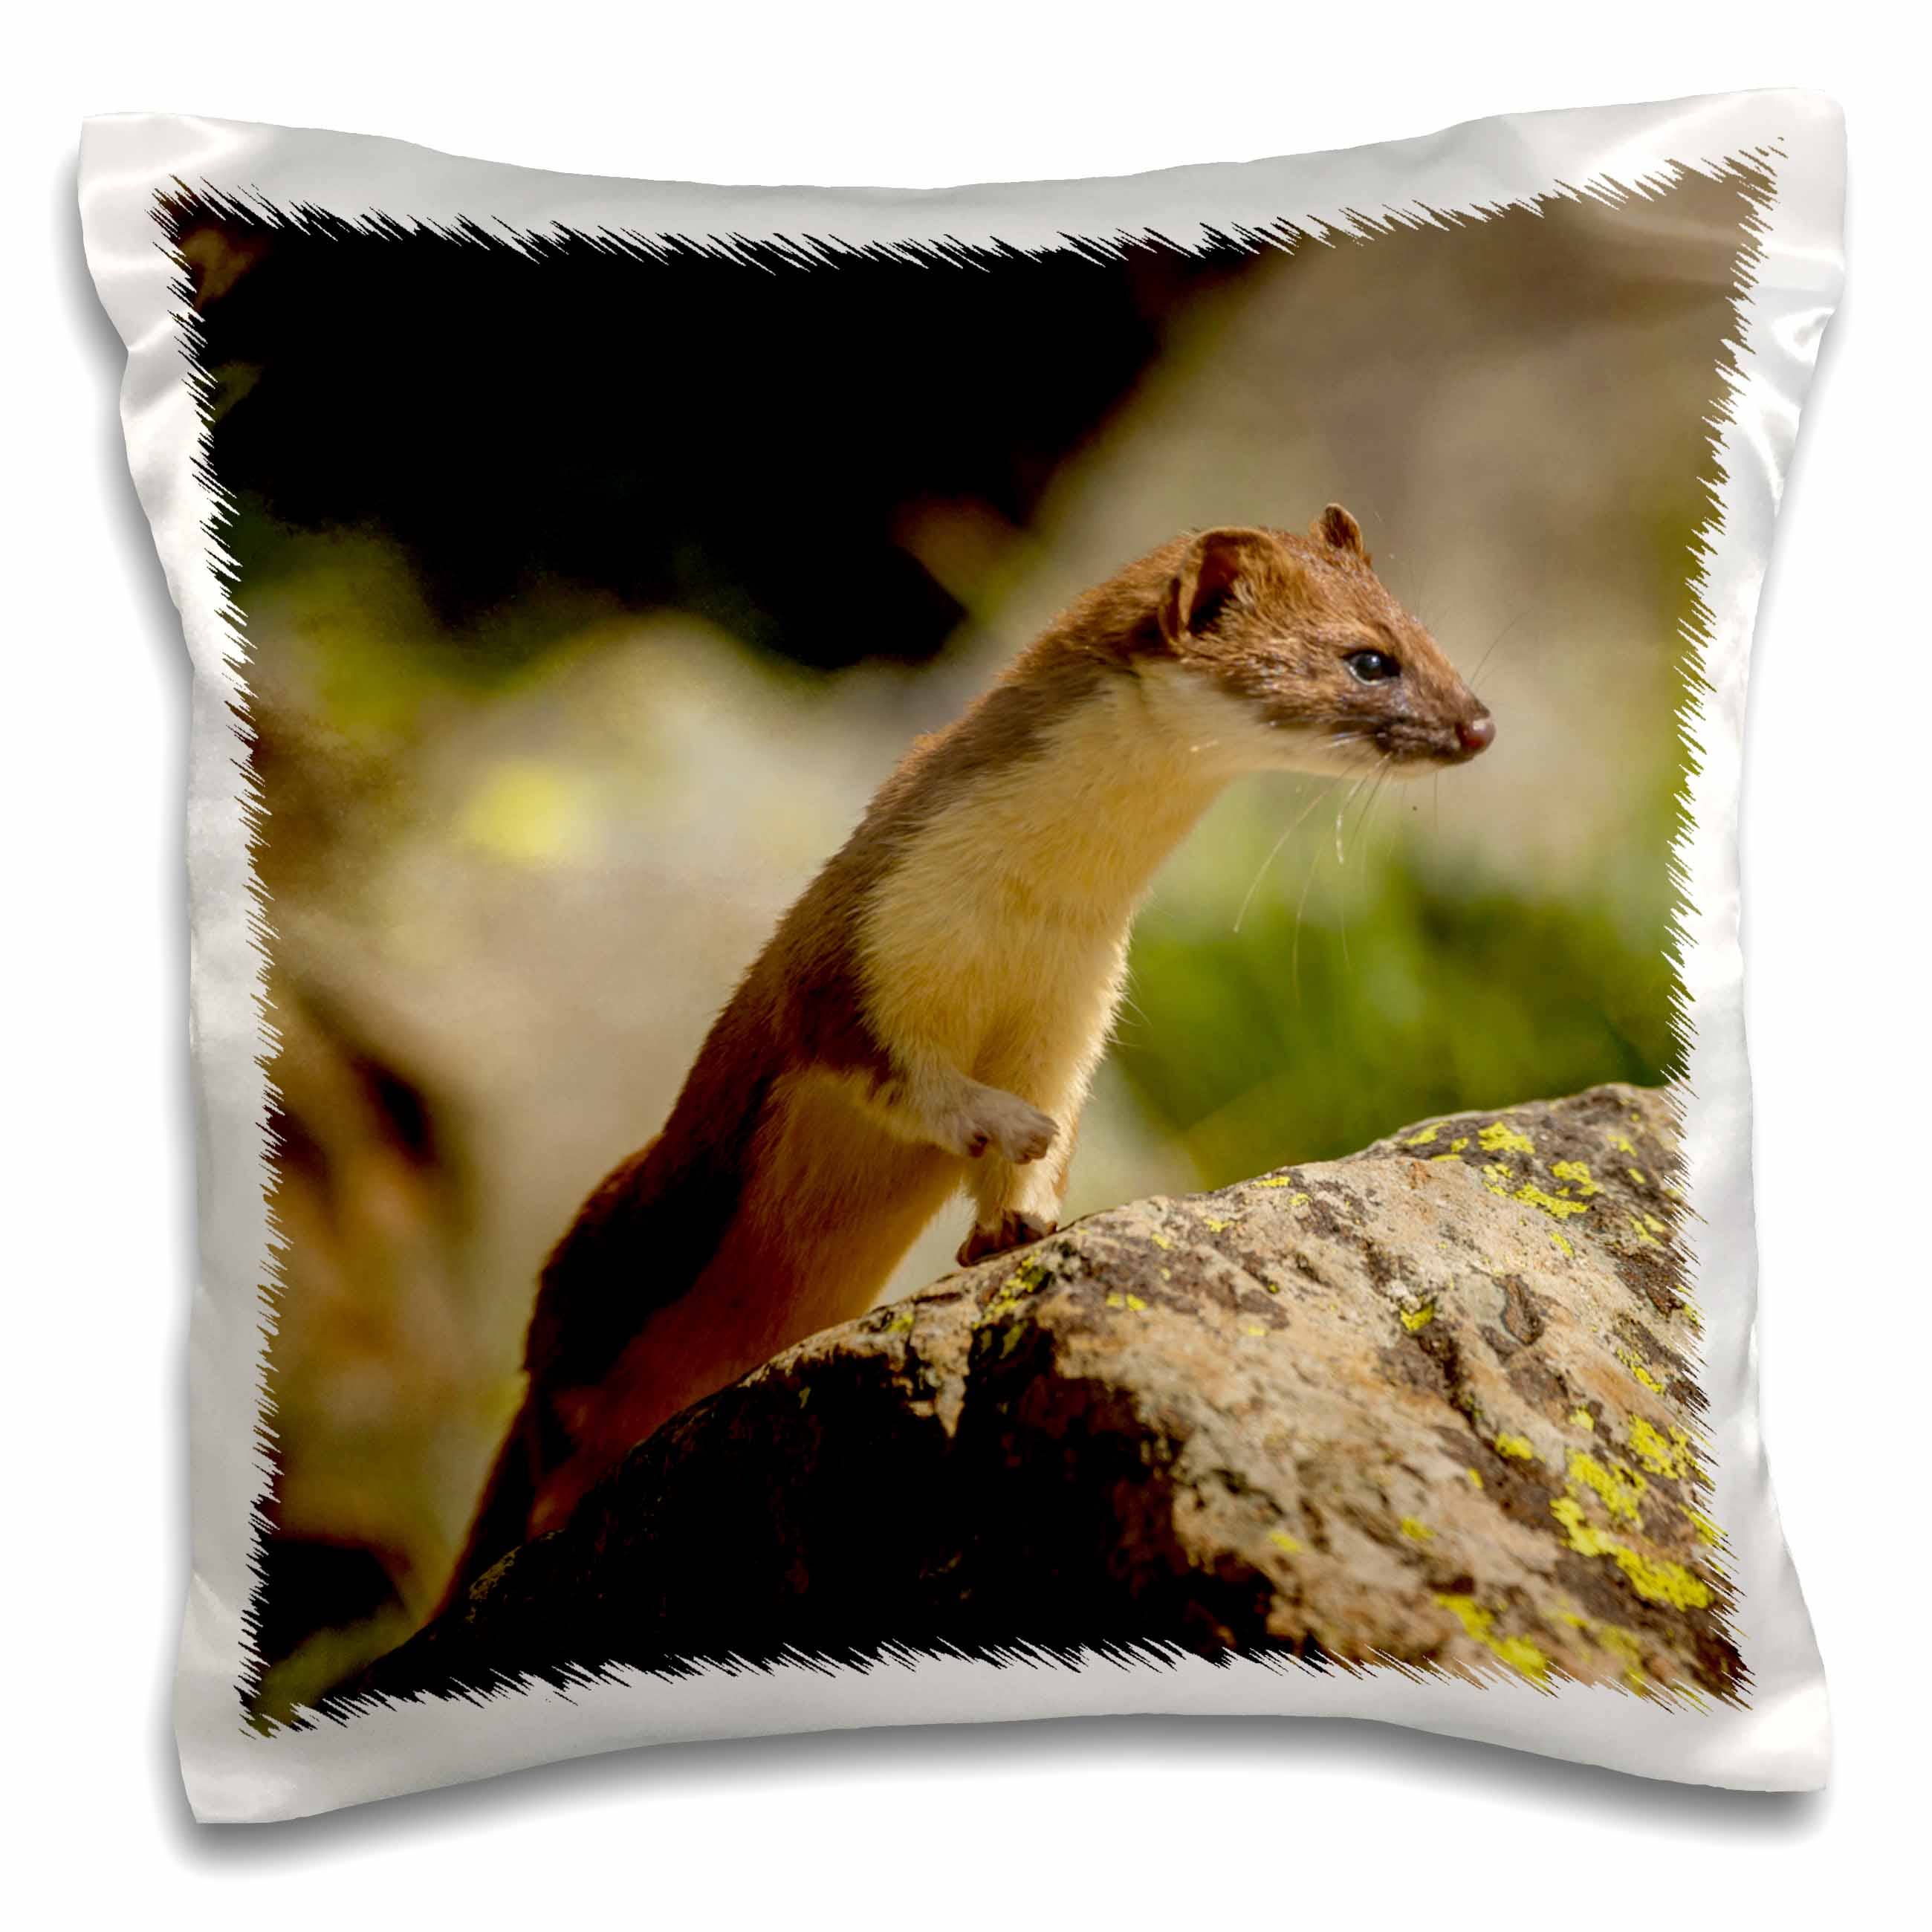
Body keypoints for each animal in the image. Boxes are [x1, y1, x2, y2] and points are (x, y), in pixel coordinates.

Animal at [440, 505, 1494, 1609]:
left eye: (1423, 633)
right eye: (1368, 659)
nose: (1479, 724)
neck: (1032, 911)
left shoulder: (1080, 997)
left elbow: (1056, 1111)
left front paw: (1020, 1217)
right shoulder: (864, 953)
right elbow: (905, 1075)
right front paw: (1005, 1125)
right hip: (606, 1276)